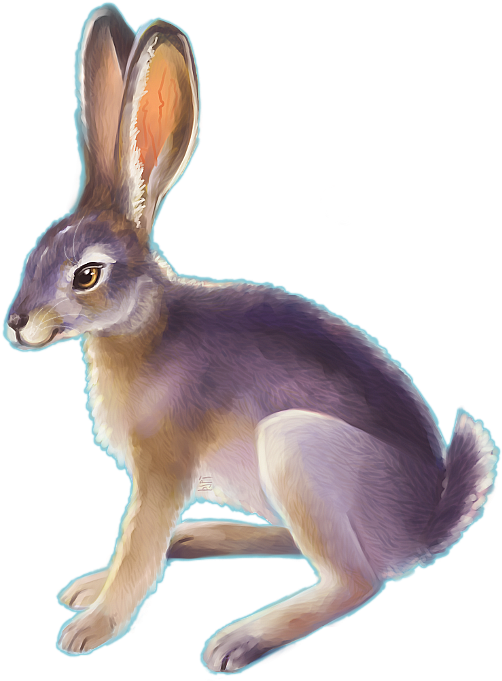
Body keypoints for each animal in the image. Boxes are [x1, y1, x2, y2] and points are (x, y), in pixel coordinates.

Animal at [3, 2, 499, 673]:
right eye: (35, 253)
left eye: (86, 275)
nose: (15, 324)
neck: (140, 326)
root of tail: (427, 526)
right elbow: (130, 544)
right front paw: (85, 590)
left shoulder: (163, 470)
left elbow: (136, 546)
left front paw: (91, 628)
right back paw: (198, 538)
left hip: (297, 449)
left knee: (355, 579)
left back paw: (240, 638)